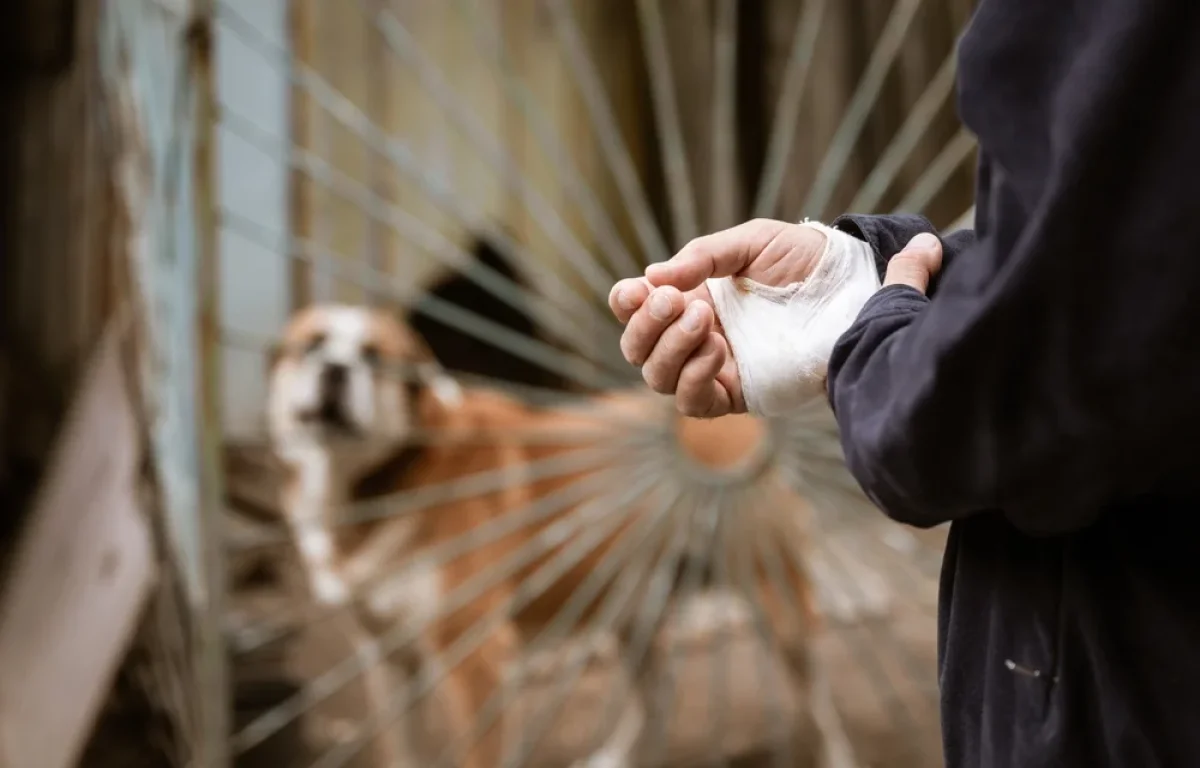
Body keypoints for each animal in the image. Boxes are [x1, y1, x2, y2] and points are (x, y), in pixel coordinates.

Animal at [271, 302, 854, 768]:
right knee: (657, 692)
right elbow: (398, 749)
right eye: (312, 344)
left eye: (375, 357)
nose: (335, 369)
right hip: (629, 607)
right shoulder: (384, 656)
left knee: (819, 700)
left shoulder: (474, 659)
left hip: (778, 603)